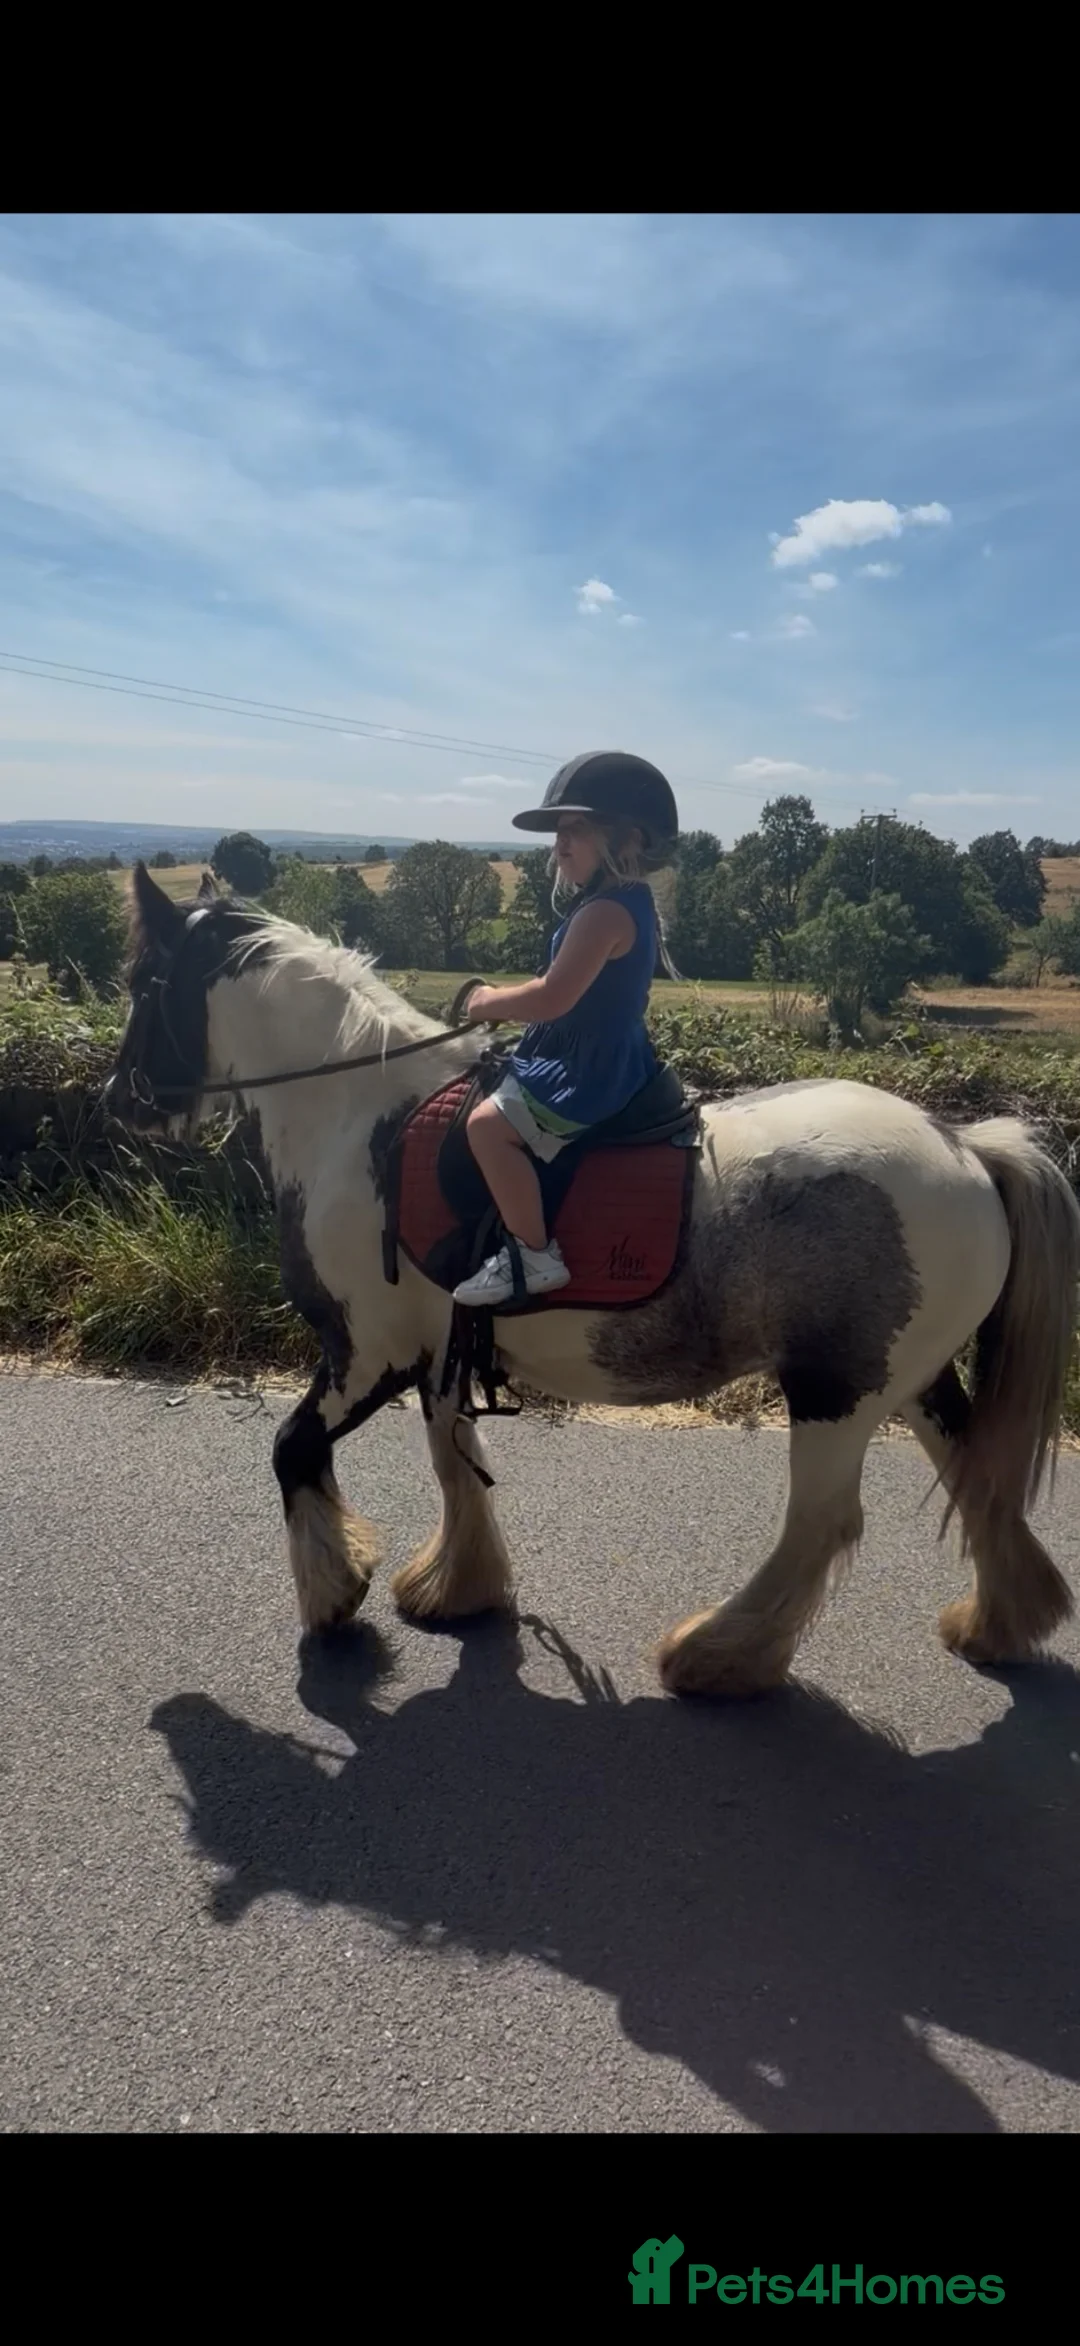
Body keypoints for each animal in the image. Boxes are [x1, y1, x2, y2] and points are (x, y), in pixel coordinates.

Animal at [105, 862, 1080, 1700]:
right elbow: (454, 1461)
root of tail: (966, 1145)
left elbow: (295, 1448)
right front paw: (458, 1588)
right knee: (976, 1477)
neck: (363, 1123)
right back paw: (1000, 1624)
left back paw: (718, 1656)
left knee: (822, 1524)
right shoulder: (439, 1351)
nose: (121, 1102)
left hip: (835, 1391)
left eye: (143, 984)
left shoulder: (367, 1350)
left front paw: (335, 1594)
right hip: (910, 1379)